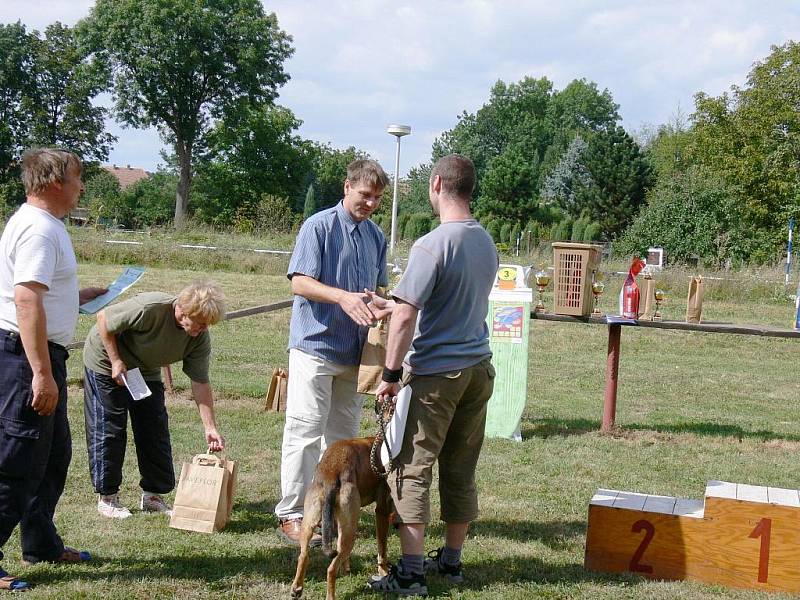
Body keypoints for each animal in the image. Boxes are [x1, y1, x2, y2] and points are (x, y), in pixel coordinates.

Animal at [294, 436, 394, 600]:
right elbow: (382, 549)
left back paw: (296, 588)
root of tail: (331, 472)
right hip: (351, 532)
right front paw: (384, 572)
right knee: (330, 569)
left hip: (309, 525)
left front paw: (346, 569)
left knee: (303, 556)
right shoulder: (382, 512)